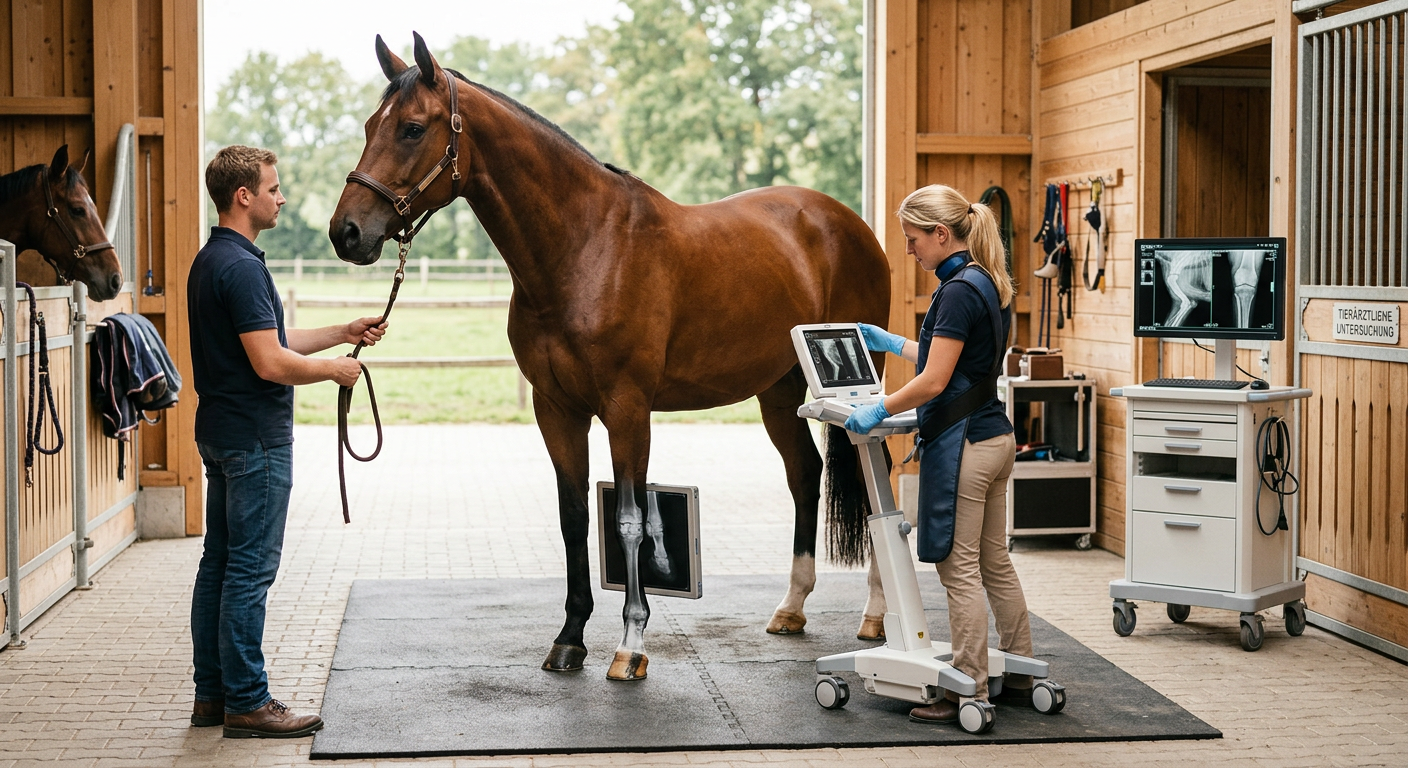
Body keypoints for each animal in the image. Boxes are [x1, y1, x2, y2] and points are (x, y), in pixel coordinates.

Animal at [330, 33, 892, 681]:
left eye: (413, 129)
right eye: (371, 125)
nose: (345, 233)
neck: (585, 248)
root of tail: (846, 223)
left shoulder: (627, 409)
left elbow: (629, 520)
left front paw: (631, 644)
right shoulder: (557, 410)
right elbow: (574, 517)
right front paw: (570, 637)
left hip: (861, 392)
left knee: (876, 478)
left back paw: (877, 616)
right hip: (777, 390)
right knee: (804, 474)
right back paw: (791, 607)